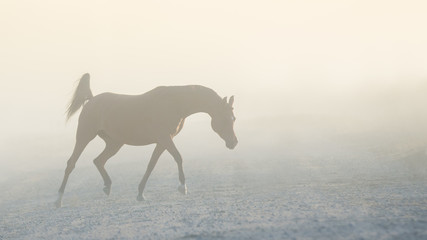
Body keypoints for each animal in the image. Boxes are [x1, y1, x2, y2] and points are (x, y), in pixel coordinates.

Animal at [54, 73, 237, 208]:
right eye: (225, 118)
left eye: (233, 118)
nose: (233, 143)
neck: (175, 102)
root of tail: (91, 100)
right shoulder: (165, 138)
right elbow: (178, 157)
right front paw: (182, 187)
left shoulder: (162, 141)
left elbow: (151, 165)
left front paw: (140, 194)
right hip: (84, 136)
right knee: (71, 164)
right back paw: (58, 200)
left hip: (115, 143)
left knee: (98, 160)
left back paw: (107, 186)